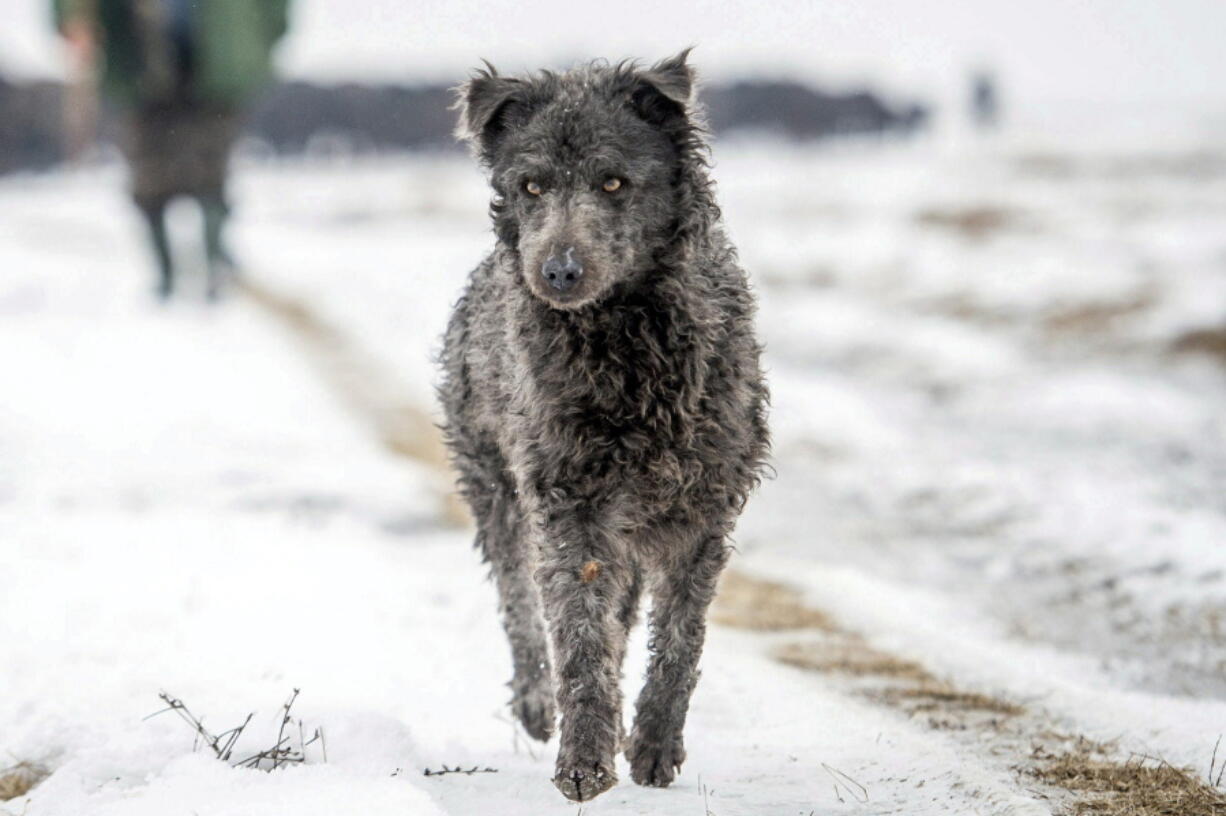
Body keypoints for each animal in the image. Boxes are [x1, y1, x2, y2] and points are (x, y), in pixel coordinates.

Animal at [438, 50, 765, 798]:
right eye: (531, 185)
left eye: (614, 181)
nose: (557, 271)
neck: (626, 340)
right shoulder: (571, 505)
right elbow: (579, 633)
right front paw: (584, 754)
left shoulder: (702, 514)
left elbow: (679, 642)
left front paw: (653, 744)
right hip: (496, 489)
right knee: (520, 604)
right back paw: (538, 703)